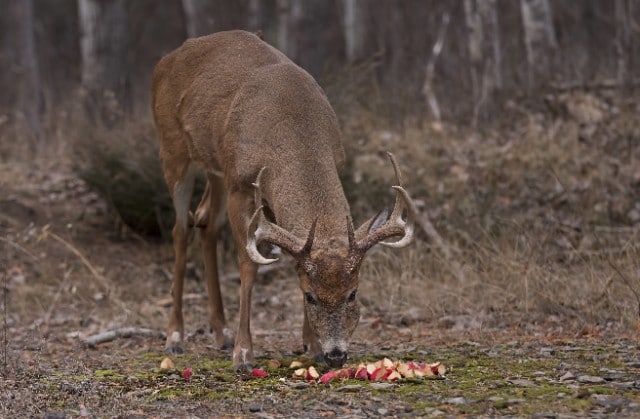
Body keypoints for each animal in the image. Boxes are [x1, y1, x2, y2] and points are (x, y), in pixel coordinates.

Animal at [152, 29, 418, 372]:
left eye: (352, 293)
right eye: (310, 297)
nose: (336, 355)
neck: (292, 124)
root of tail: (165, 60)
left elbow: (294, 258)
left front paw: (312, 345)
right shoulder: (241, 185)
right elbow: (249, 265)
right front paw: (243, 354)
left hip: (216, 167)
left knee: (205, 219)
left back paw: (221, 332)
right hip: (172, 149)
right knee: (180, 228)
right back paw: (175, 336)